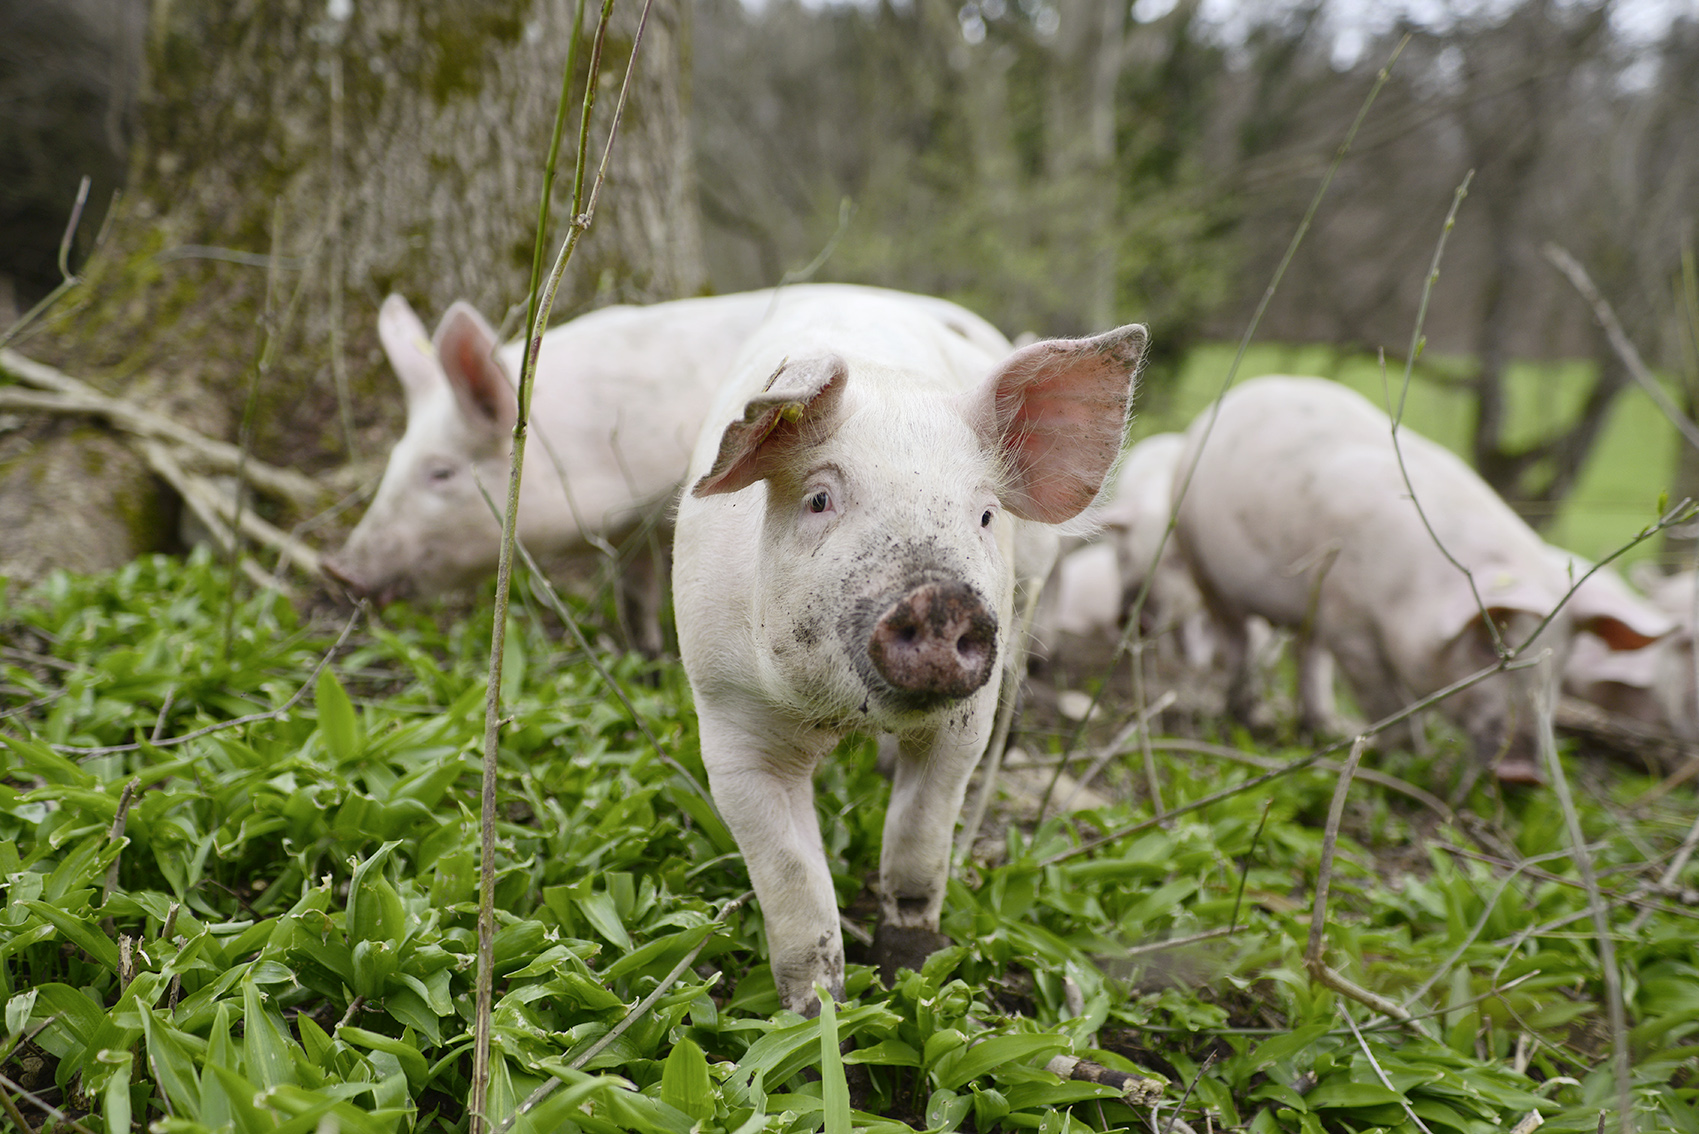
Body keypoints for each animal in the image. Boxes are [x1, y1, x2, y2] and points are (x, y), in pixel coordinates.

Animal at [672, 285, 1141, 1013]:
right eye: (819, 499)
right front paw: (817, 1016)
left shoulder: (963, 723)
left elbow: (919, 841)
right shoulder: (726, 713)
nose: (940, 599)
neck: (846, 717)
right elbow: (791, 877)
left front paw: (913, 974)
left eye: (984, 515)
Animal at [1175, 377, 1665, 785]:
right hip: (1199, 558)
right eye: (1489, 644)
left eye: (1560, 662)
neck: (1411, 587)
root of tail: (1236, 395)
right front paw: (1405, 757)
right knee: (1235, 639)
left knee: (1307, 652)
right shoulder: (1349, 621)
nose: (1524, 773)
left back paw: (1324, 727)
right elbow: (1385, 699)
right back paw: (1248, 718)